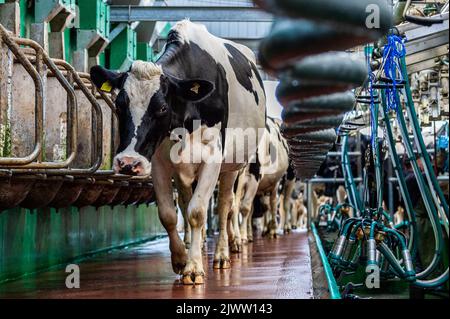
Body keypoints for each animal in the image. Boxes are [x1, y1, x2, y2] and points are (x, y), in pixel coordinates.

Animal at [91, 20, 268, 284]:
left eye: (162, 107)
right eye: (120, 104)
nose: (128, 162)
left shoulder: (212, 157)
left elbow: (197, 211)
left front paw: (194, 268)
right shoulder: (159, 161)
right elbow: (169, 214)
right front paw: (181, 259)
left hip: (234, 167)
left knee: (226, 206)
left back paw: (222, 255)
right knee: (186, 201)